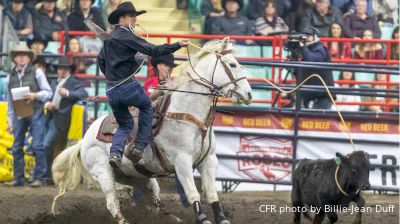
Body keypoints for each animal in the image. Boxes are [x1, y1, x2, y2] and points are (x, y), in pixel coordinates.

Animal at [51, 37, 252, 223]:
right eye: (232, 65)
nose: (249, 94)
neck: (187, 114)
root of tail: (85, 139)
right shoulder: (182, 161)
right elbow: (193, 193)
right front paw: (202, 218)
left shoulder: (209, 161)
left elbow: (211, 194)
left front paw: (222, 218)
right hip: (103, 173)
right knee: (112, 203)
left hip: (139, 177)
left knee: (154, 203)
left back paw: (171, 219)